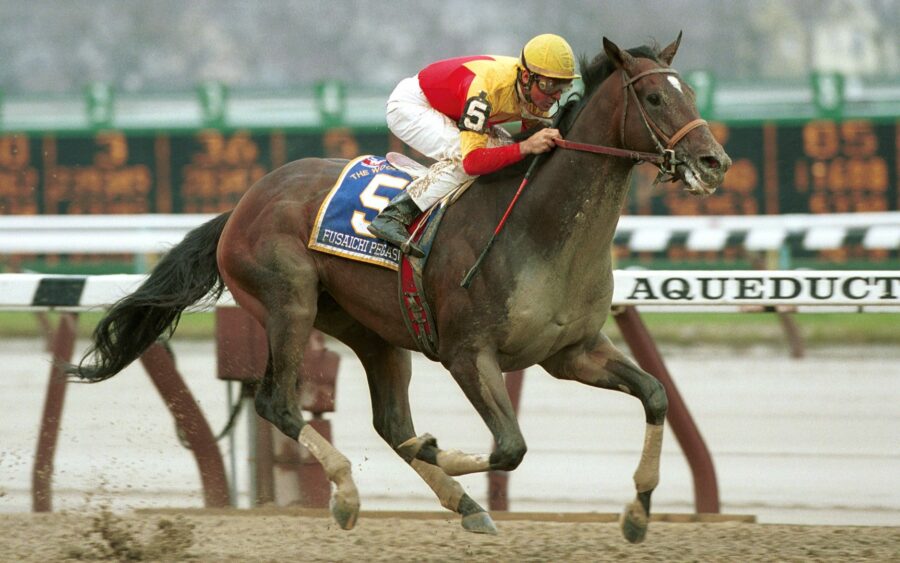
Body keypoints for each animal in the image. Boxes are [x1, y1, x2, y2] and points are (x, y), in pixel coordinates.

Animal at [69, 35, 730, 543]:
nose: (714, 162)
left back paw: (465, 505)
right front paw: (441, 451)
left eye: (691, 94)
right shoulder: (469, 354)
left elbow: (655, 395)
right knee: (278, 403)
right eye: (653, 96)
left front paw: (638, 513)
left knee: (390, 423)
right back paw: (347, 493)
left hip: (373, 331)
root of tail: (242, 204)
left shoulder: (573, 353)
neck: (539, 231)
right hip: (288, 302)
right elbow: (509, 446)